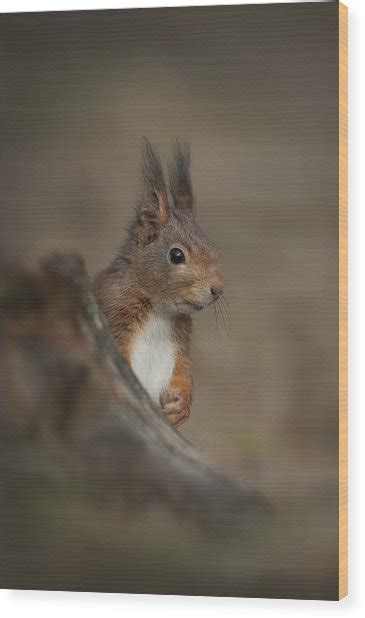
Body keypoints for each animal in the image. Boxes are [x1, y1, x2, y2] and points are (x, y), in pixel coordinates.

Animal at [94, 140, 222, 426]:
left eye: (211, 245)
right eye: (176, 255)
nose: (218, 289)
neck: (158, 310)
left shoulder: (179, 344)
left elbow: (184, 370)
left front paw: (181, 405)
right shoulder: (111, 313)